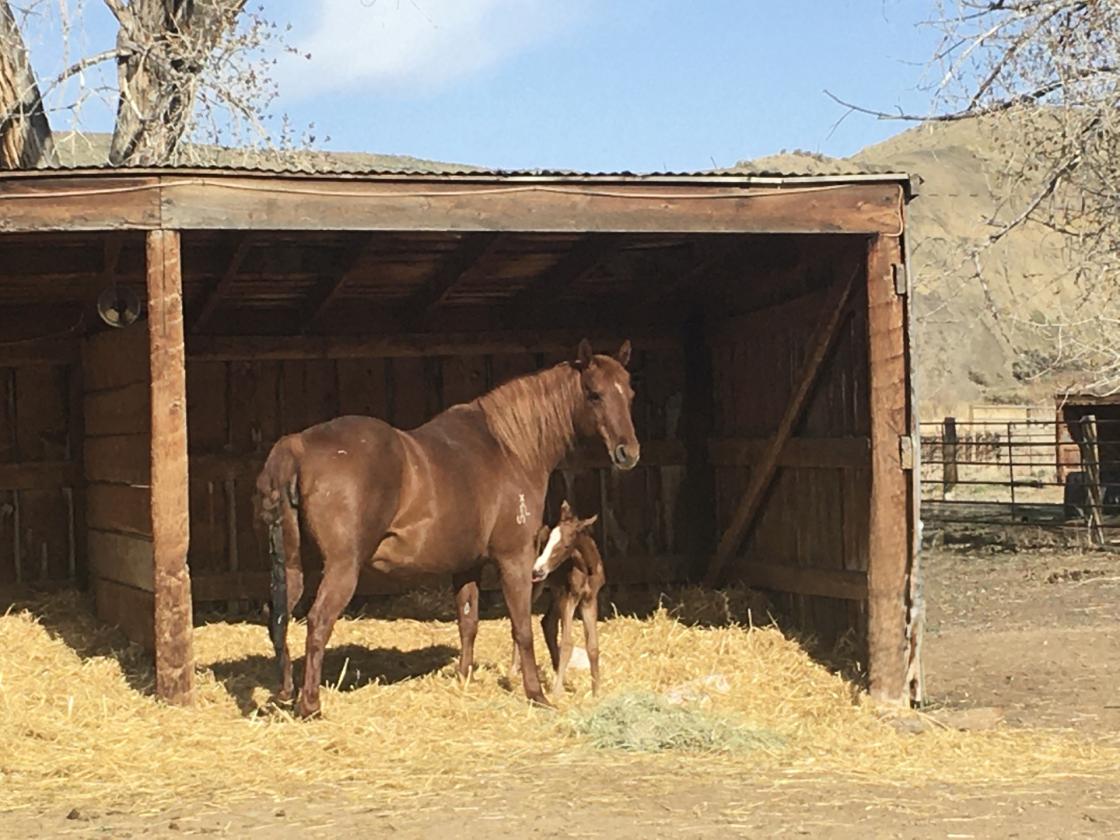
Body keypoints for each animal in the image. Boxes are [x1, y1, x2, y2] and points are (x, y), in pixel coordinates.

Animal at [510, 500, 605, 697]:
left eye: (567, 545)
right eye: (547, 543)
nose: (537, 570)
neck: (586, 569)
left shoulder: (589, 599)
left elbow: (592, 645)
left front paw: (596, 691)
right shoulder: (570, 597)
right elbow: (567, 643)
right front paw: (557, 691)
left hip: (556, 591)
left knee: (547, 623)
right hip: (537, 588)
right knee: (520, 622)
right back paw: (513, 670)